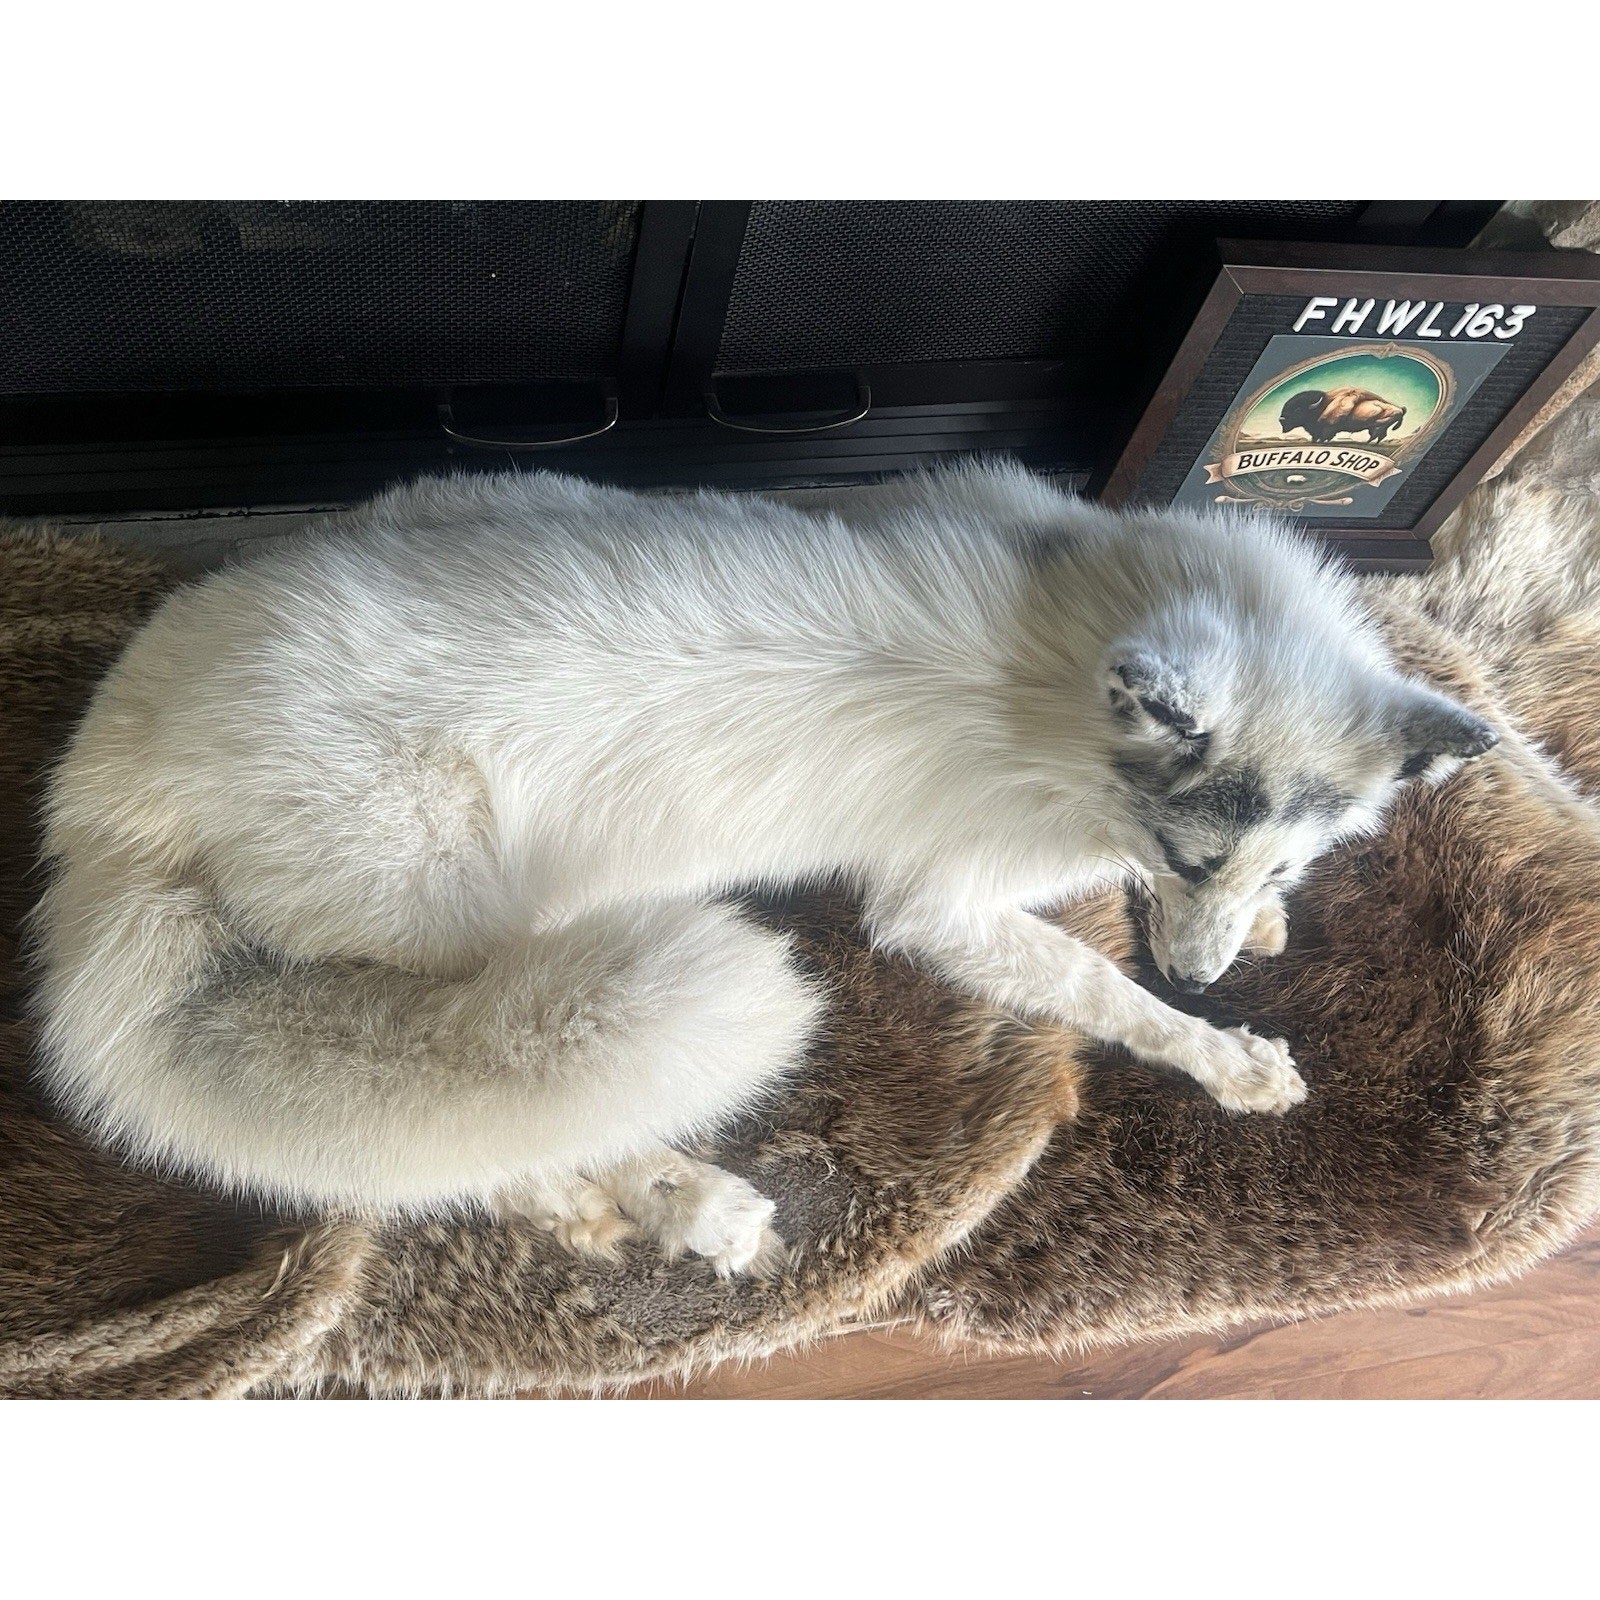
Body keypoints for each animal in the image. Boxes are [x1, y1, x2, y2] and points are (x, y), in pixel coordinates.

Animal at [31, 462, 1497, 1275]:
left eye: (1262, 857)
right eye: (1185, 847)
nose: (1202, 966)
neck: (1069, 634)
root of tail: (96, 790)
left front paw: (1257, 935)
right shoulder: (936, 905)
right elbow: (1099, 991)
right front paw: (1219, 1048)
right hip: (482, 919)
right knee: (466, 1129)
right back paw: (685, 1205)